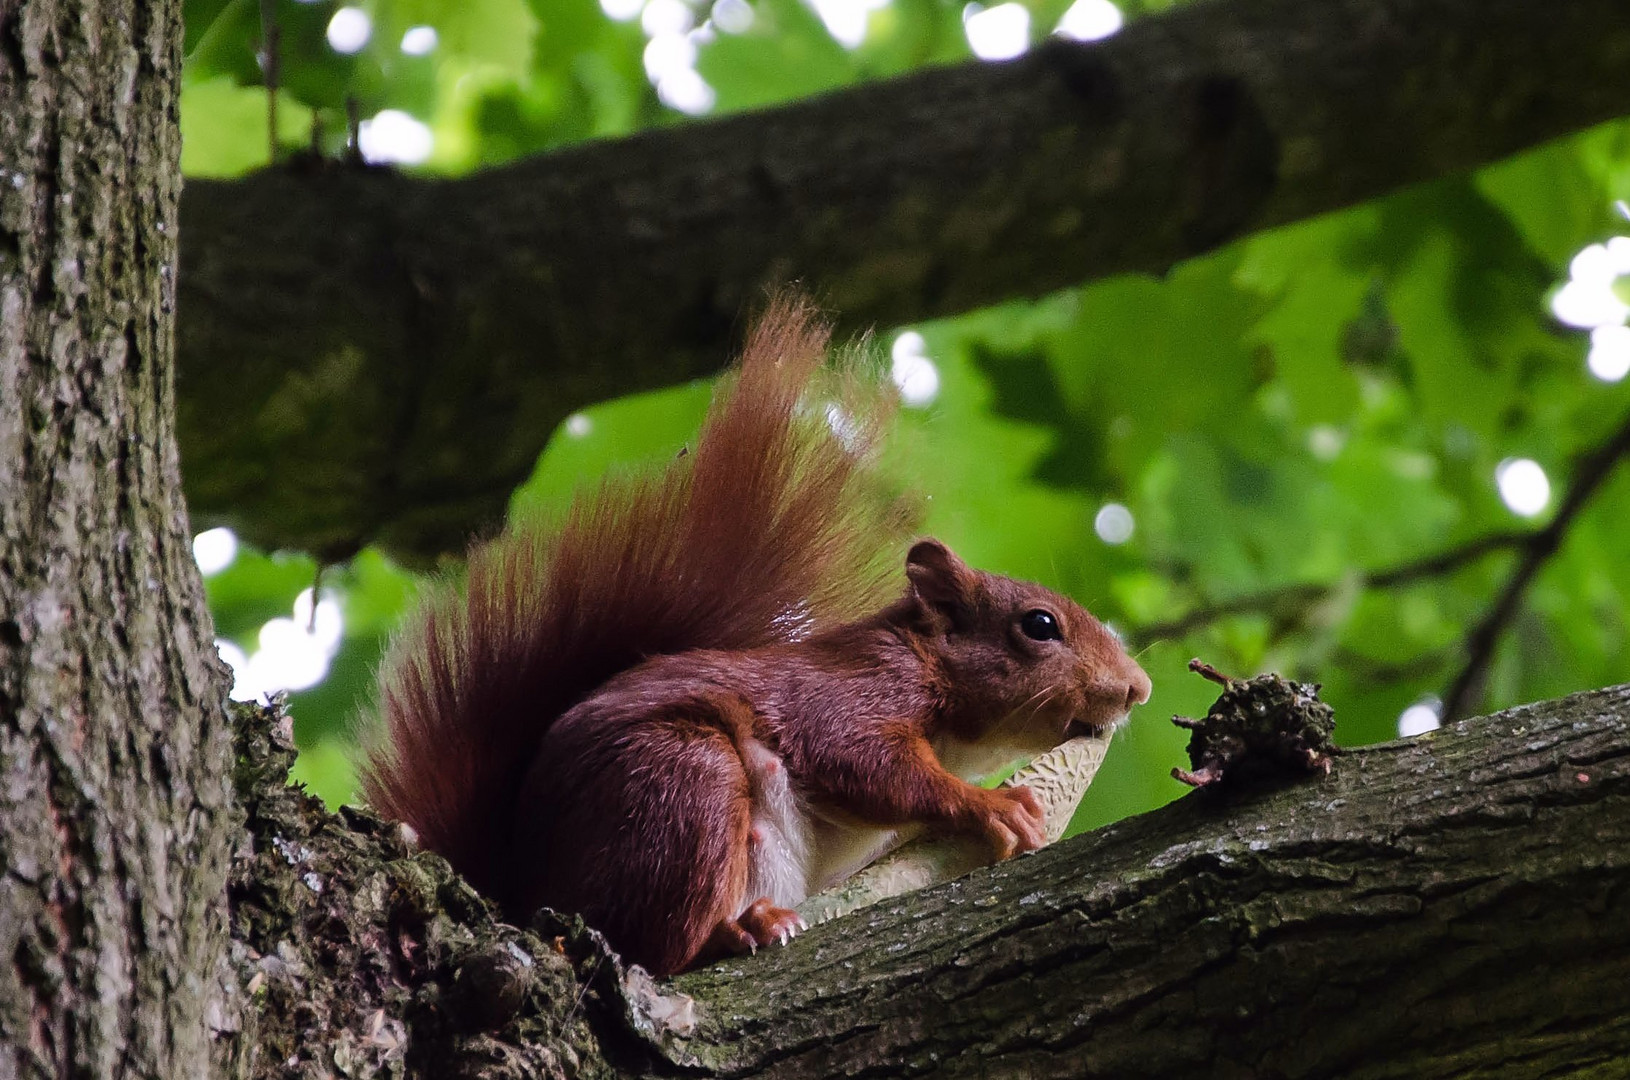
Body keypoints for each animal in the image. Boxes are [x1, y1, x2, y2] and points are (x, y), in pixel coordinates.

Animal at [363, 296, 1154, 977]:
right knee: (652, 943)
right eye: (1040, 626)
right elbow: (862, 758)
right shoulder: (858, 685)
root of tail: (520, 891)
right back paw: (737, 929)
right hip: (681, 785)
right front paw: (991, 804)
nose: (1138, 689)